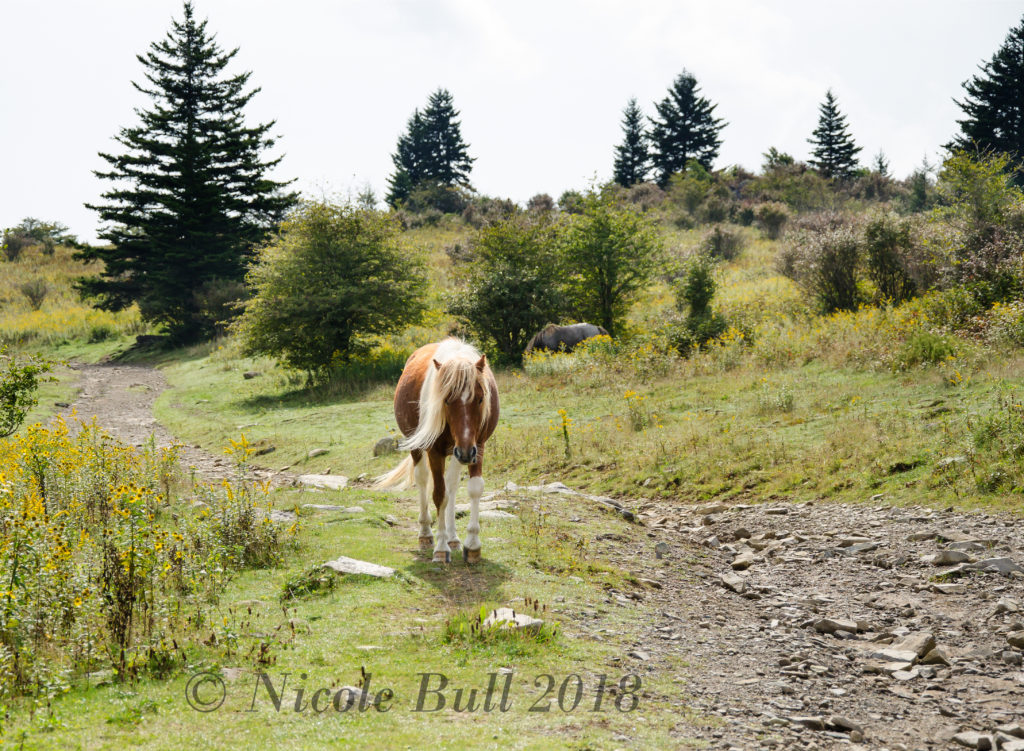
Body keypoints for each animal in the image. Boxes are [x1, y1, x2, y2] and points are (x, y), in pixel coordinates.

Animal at [378, 340, 501, 561]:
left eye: (480, 399)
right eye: (446, 400)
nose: (466, 452)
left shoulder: (477, 446)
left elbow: (473, 489)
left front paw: (472, 545)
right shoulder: (435, 451)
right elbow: (439, 495)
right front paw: (441, 548)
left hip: (458, 452)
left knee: (451, 485)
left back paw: (453, 538)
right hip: (422, 448)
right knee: (423, 480)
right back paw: (426, 534)